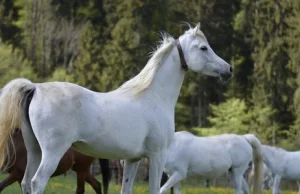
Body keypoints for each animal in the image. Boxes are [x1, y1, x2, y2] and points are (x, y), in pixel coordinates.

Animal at [0, 23, 233, 194]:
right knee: (37, 182)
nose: (228, 69)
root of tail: (35, 88)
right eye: (203, 48)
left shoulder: (132, 160)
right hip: (52, 153)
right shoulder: (157, 156)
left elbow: (126, 189)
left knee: (26, 182)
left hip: (35, 150)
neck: (153, 97)